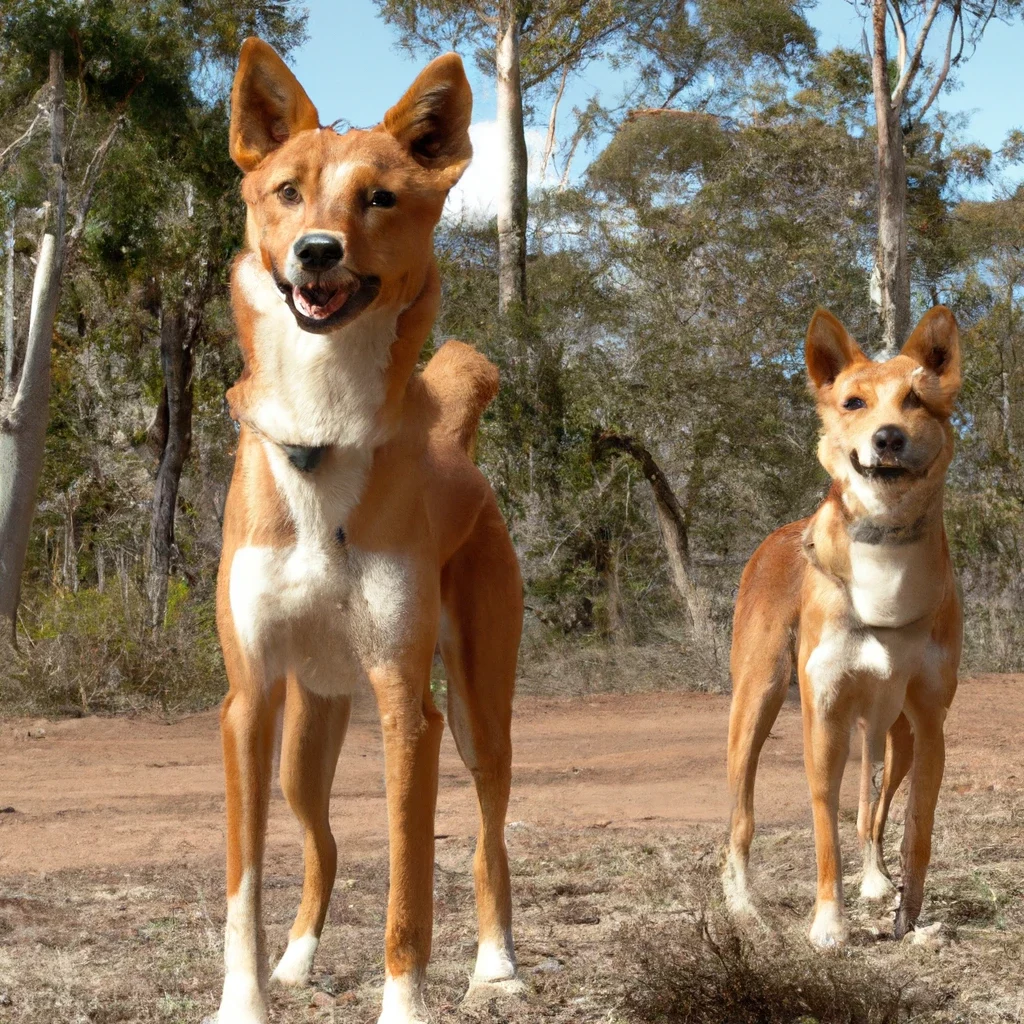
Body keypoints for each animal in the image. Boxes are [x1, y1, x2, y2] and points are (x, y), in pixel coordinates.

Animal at [212, 36, 524, 1019]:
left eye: (380, 198)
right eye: (287, 192)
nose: (317, 251)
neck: (323, 431)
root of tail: (453, 439)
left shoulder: (404, 708)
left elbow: (409, 889)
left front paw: (406, 1004)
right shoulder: (247, 703)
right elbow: (243, 888)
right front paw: (247, 1001)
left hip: (478, 714)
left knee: (490, 840)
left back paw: (496, 964)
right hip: (304, 735)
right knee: (322, 845)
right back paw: (299, 960)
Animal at [724, 303, 962, 942]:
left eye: (915, 400)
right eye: (854, 402)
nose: (888, 437)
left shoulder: (930, 723)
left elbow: (916, 828)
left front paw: (908, 914)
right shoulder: (824, 711)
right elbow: (824, 828)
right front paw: (829, 924)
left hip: (893, 734)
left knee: (872, 813)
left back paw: (877, 879)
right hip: (754, 703)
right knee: (740, 816)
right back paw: (740, 902)